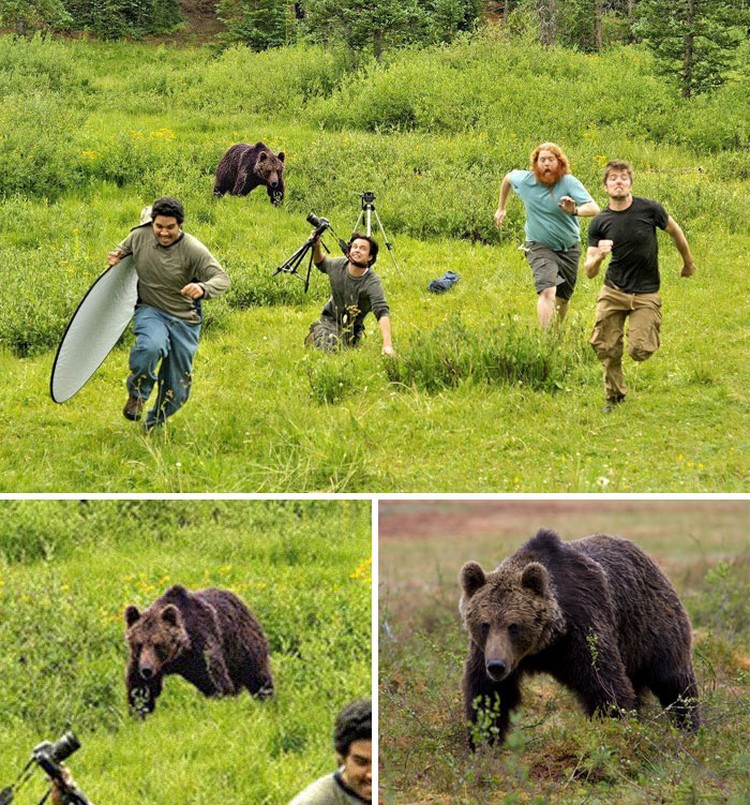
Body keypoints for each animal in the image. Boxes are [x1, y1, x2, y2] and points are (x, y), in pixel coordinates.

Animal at [125, 584, 274, 716]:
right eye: (139, 644)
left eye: (158, 644)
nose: (147, 670)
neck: (177, 658)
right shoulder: (140, 661)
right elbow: (141, 689)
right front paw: (140, 712)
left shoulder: (201, 648)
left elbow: (217, 683)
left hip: (242, 644)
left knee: (258, 677)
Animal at [462, 528, 704, 748]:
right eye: (484, 624)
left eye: (514, 626)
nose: (497, 666)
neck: (546, 645)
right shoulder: (486, 651)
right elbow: (487, 694)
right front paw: (483, 743)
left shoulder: (582, 627)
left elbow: (605, 685)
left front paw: (615, 730)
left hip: (653, 628)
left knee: (674, 681)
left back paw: (690, 729)